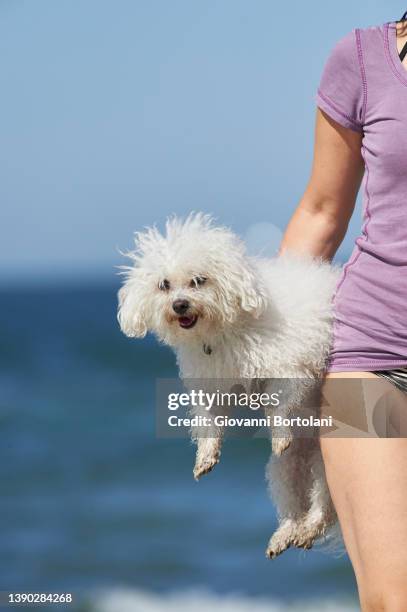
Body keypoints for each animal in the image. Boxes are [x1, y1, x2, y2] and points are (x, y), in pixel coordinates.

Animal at [118, 213, 342, 556]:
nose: (179, 304)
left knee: (323, 506)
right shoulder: (214, 383)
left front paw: (279, 432)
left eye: (199, 280)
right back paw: (287, 534)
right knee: (295, 505)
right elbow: (209, 420)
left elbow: (277, 404)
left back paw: (307, 528)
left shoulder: (291, 369)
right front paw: (206, 455)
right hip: (284, 471)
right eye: (164, 285)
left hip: (323, 464)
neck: (227, 328)